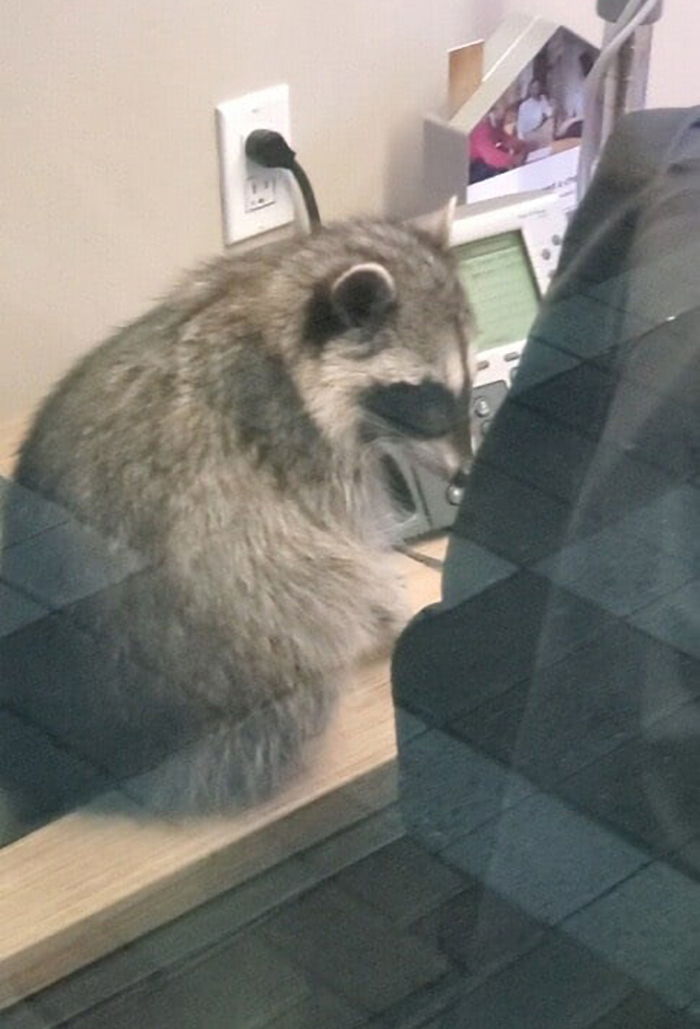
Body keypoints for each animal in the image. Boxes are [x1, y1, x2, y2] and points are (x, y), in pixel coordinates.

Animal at [7, 201, 473, 813]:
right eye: (425, 397)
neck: (278, 301)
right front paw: (392, 603)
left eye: (465, 385)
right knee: (298, 579)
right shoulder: (291, 434)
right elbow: (347, 547)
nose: (468, 473)